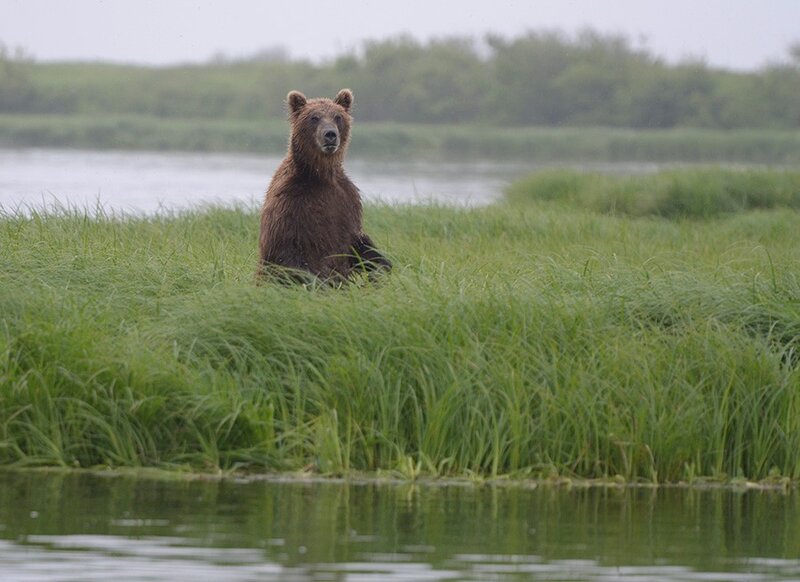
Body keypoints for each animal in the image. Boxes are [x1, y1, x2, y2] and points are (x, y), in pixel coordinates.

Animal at [258, 88, 391, 283]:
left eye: (337, 116)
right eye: (314, 117)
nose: (330, 134)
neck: (320, 175)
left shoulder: (346, 201)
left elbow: (357, 242)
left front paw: (383, 266)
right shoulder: (290, 201)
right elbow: (286, 249)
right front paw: (320, 281)